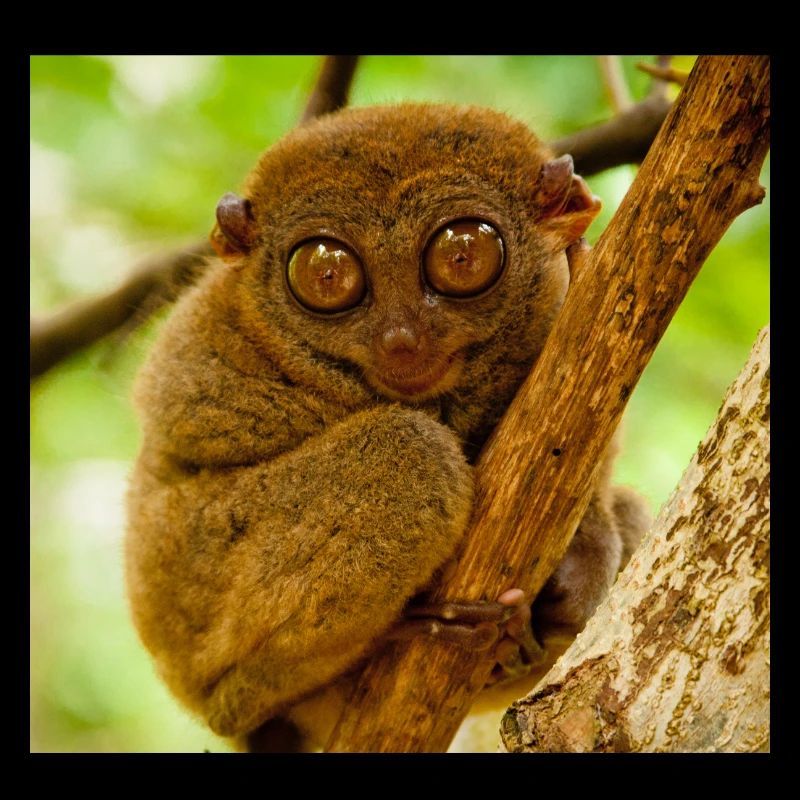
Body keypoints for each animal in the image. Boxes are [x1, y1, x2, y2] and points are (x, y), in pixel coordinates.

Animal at [125, 103, 649, 752]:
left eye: (462, 257)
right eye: (326, 275)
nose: (401, 338)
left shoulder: (572, 302)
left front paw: (585, 559)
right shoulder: (207, 347)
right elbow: (188, 407)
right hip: (192, 588)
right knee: (407, 451)